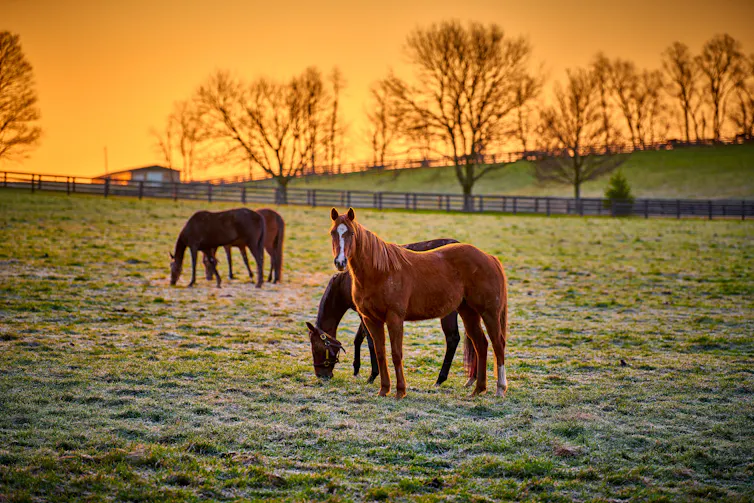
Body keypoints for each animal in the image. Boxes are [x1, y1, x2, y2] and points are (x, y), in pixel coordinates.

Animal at [305, 238, 478, 385]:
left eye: (317, 348)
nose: (321, 375)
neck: (346, 282)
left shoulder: (365, 314)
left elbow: (370, 341)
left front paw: (372, 375)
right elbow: (358, 339)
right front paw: (356, 369)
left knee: (453, 339)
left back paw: (441, 379)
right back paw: (472, 379)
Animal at [328, 207, 508, 398]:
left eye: (352, 233)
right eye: (333, 232)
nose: (340, 262)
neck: (380, 271)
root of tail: (489, 257)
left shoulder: (394, 318)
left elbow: (396, 354)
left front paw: (400, 391)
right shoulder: (371, 320)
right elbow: (380, 353)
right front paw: (384, 390)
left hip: (489, 313)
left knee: (498, 344)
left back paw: (500, 388)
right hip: (468, 313)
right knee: (481, 344)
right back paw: (478, 389)